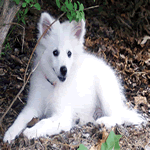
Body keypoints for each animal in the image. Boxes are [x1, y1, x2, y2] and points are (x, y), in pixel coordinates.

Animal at [3, 12, 145, 142]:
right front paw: (10, 133)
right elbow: (21, 117)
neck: (54, 84)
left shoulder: (62, 116)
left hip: (104, 92)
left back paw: (104, 121)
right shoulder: (33, 106)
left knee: (118, 117)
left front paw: (31, 131)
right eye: (55, 52)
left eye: (69, 53)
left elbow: (44, 122)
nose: (64, 69)